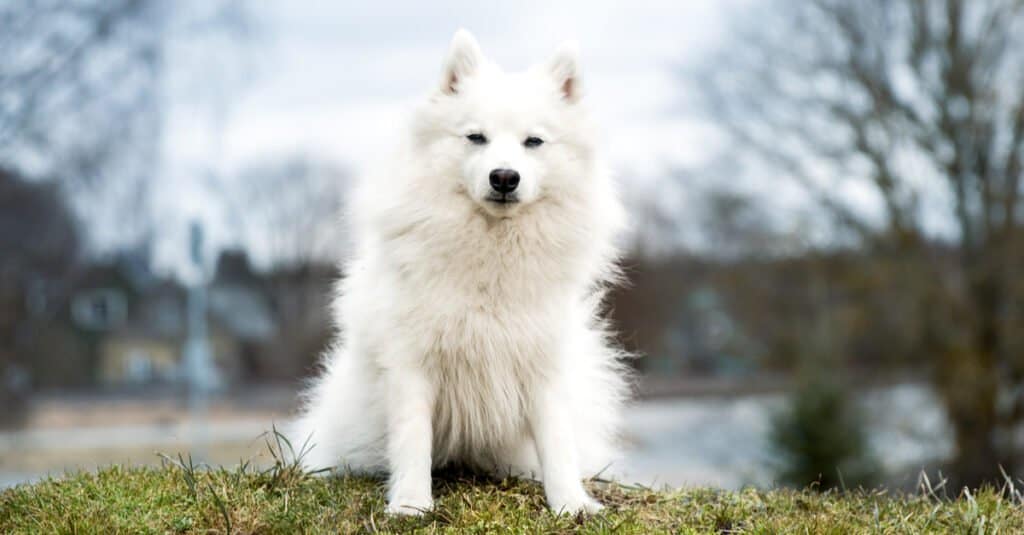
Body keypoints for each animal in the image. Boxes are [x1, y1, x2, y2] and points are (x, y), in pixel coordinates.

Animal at [288, 28, 630, 512]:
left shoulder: (541, 361)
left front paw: (571, 504)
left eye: (533, 142)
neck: (491, 249)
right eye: (476, 137)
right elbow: (412, 439)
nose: (504, 177)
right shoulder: (412, 360)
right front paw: (410, 505)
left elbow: (557, 441)